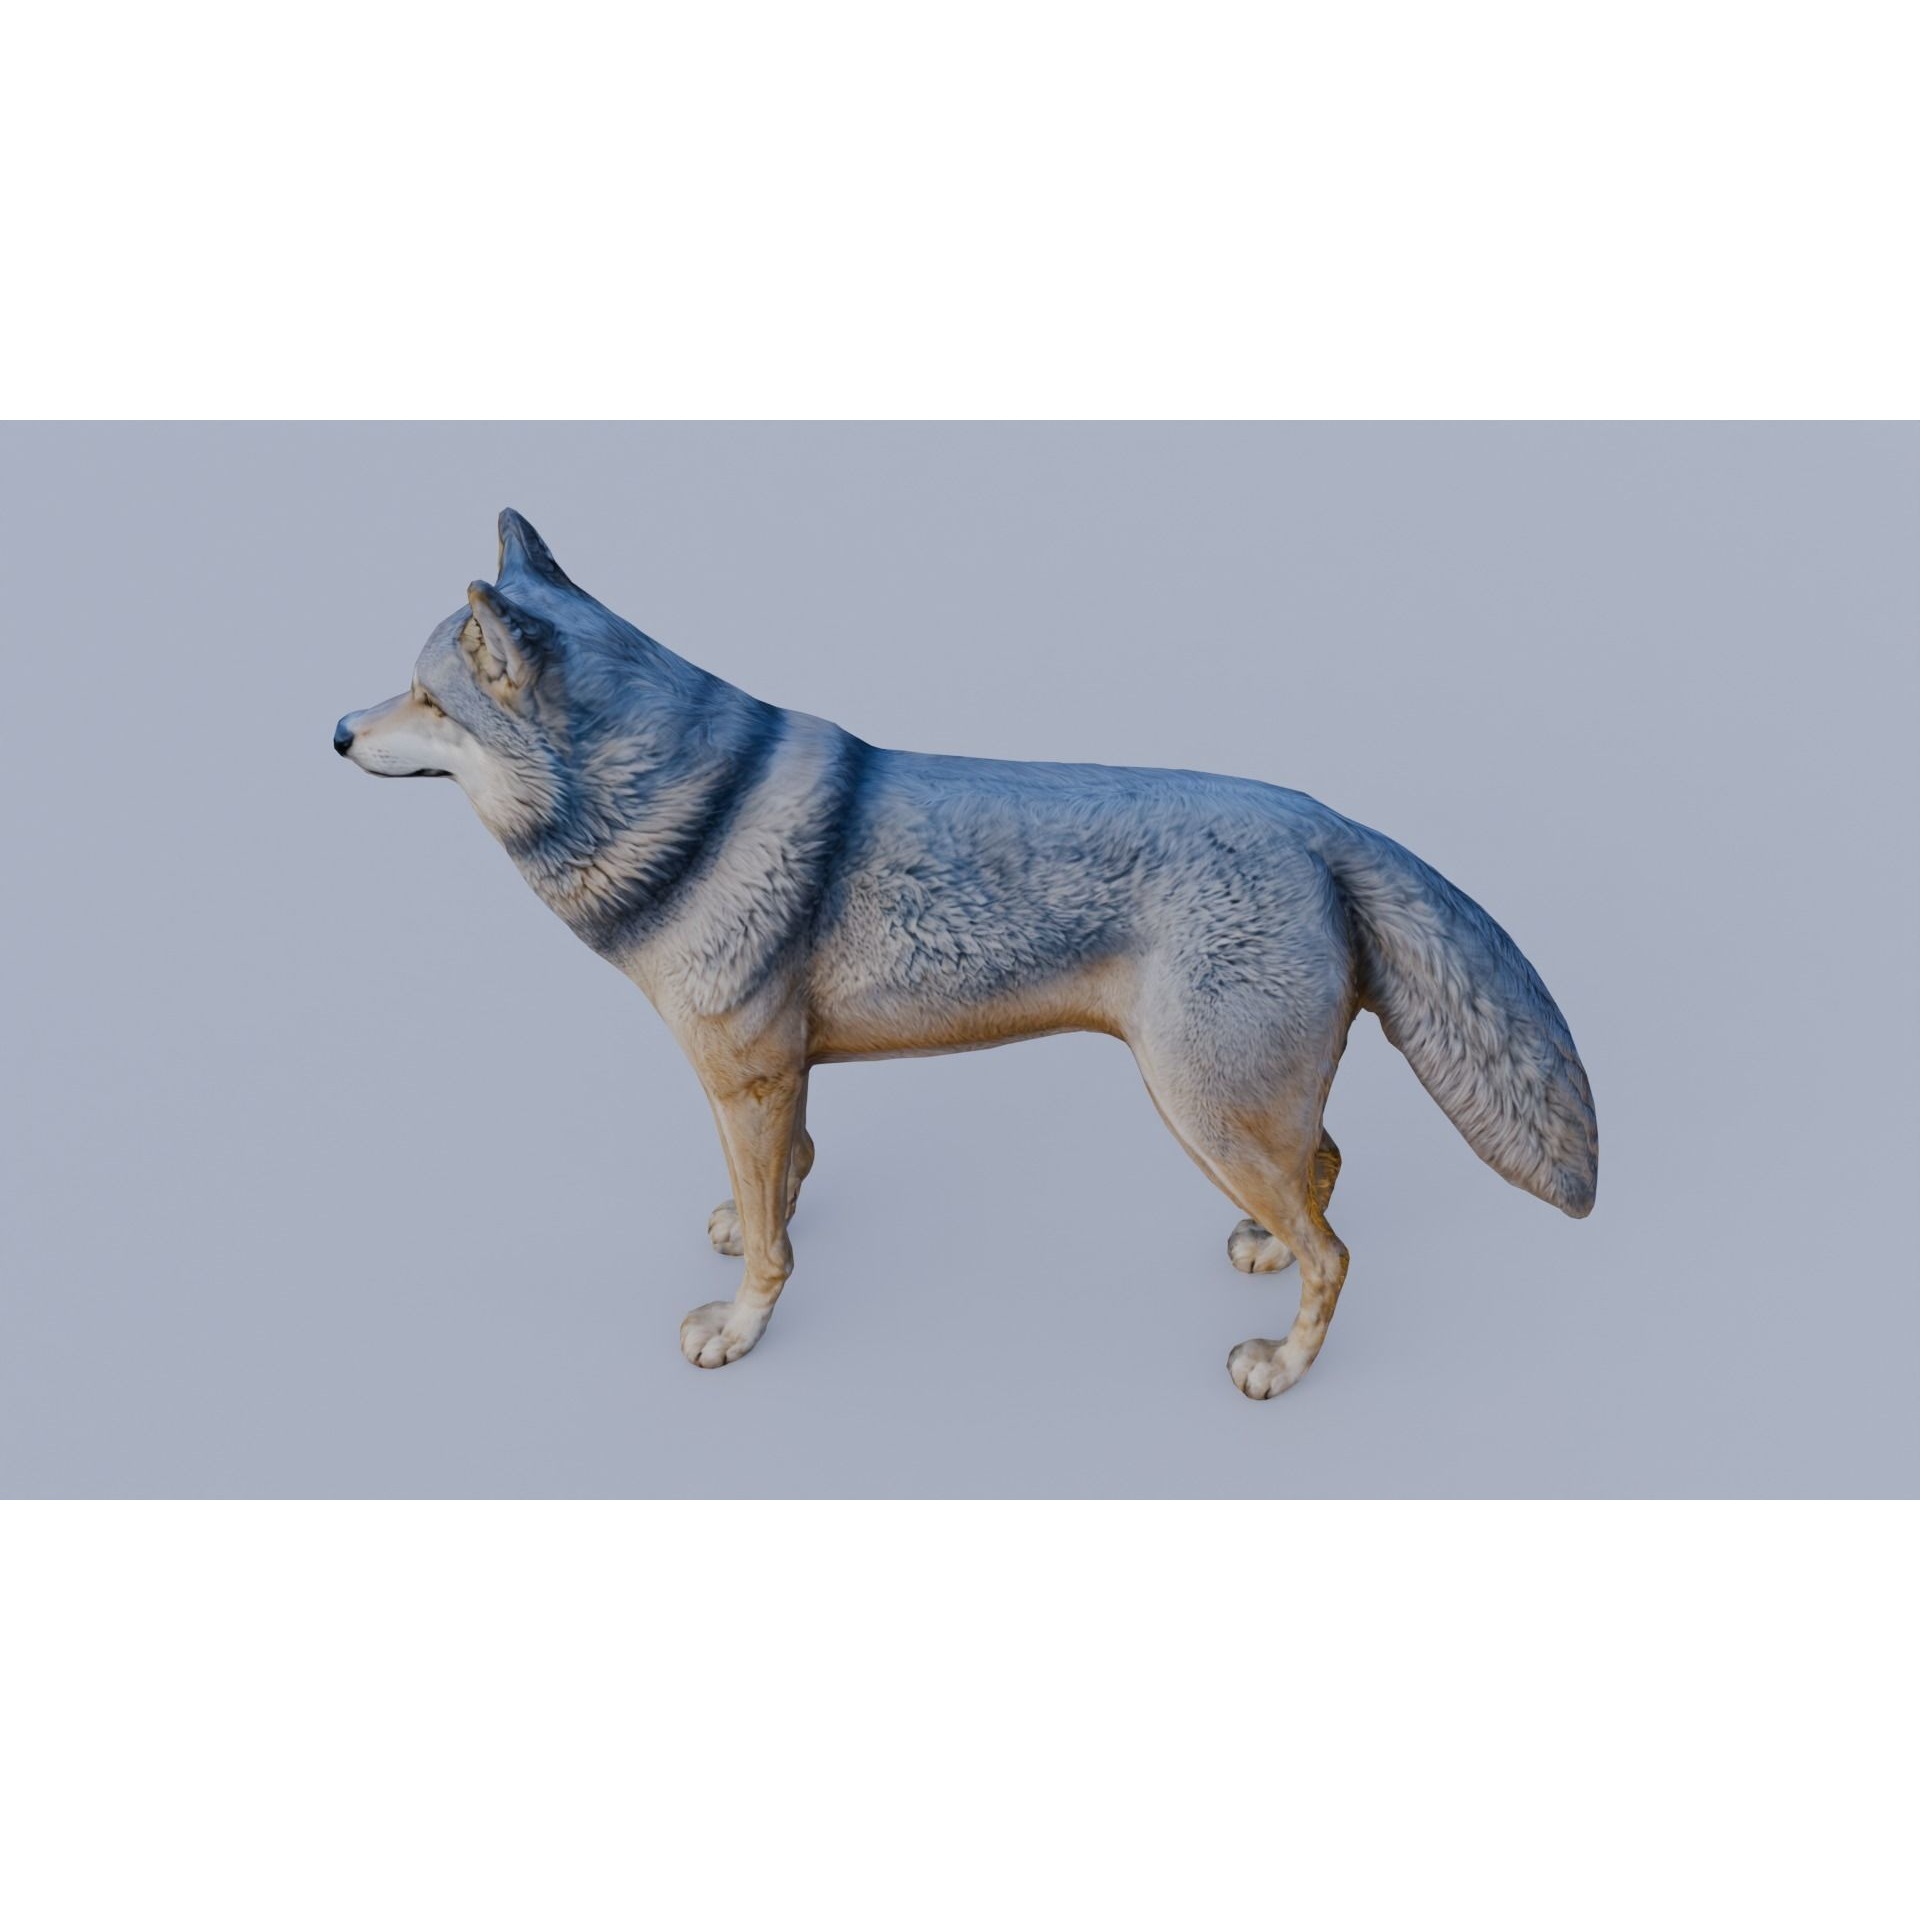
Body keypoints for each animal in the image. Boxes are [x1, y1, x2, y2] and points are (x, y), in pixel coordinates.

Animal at [335, 510, 1596, 1398]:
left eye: (427, 699)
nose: (338, 731)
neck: (690, 809)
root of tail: (1325, 819)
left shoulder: (744, 1075)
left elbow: (772, 1249)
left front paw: (739, 1330)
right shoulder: (779, 1074)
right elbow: (784, 1184)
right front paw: (752, 1219)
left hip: (1201, 1108)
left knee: (1336, 1249)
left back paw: (1281, 1368)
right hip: (1243, 1112)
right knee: (1325, 1174)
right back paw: (1266, 1256)